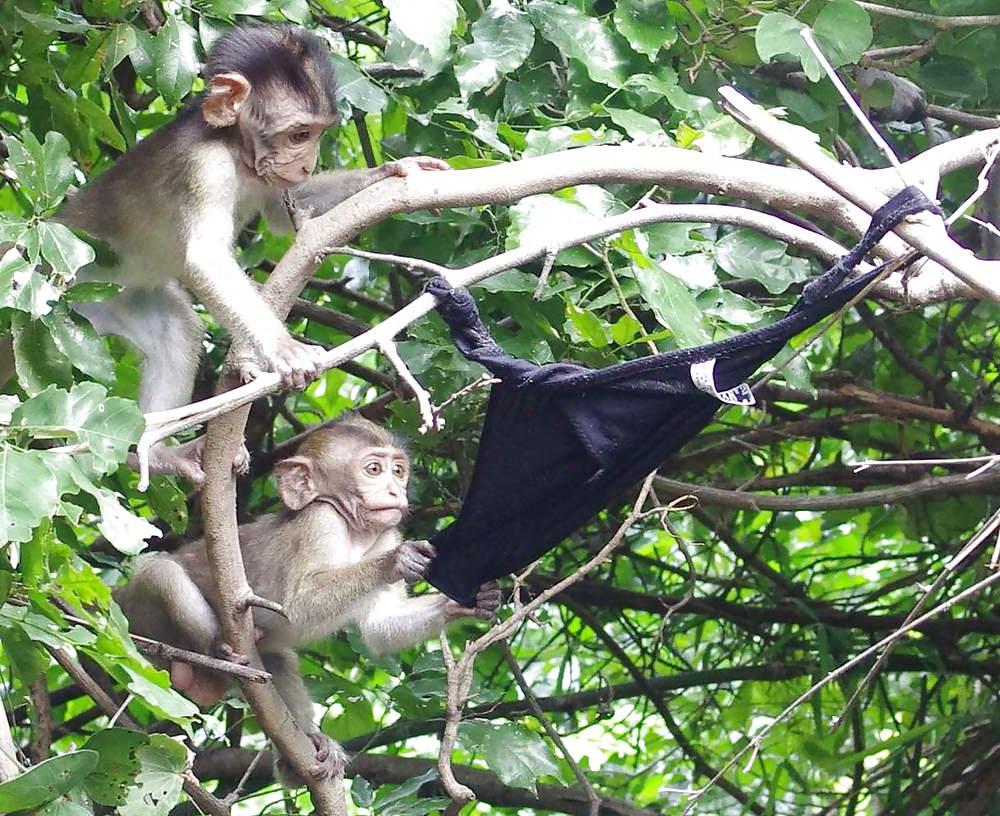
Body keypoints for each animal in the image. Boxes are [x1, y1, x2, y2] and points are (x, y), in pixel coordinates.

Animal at [42, 24, 449, 485]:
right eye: (299, 135)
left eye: (318, 134)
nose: (307, 164)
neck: (235, 149)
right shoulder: (204, 167)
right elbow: (206, 257)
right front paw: (284, 349)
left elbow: (286, 212)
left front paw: (394, 170)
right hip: (64, 297)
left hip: (120, 300)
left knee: (177, 332)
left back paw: (153, 453)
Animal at [114, 415, 501, 783]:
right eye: (373, 469)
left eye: (398, 470)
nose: (395, 490)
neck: (355, 532)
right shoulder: (321, 521)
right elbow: (297, 607)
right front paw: (397, 561)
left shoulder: (387, 532)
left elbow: (378, 628)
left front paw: (475, 600)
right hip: (140, 617)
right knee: (161, 572)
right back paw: (217, 648)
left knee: (278, 659)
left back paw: (298, 755)